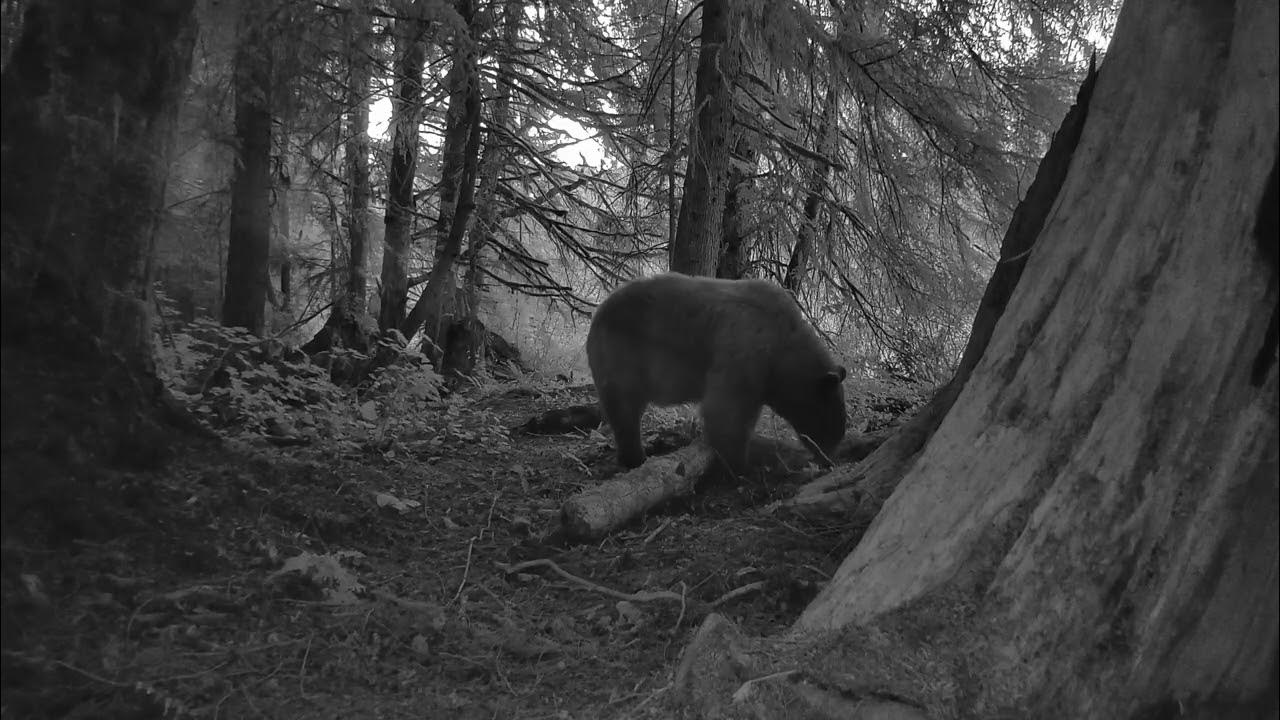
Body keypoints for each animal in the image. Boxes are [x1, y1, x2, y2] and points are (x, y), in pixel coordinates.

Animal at [586, 272, 847, 471]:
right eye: (828, 422)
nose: (829, 459)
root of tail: (598, 312)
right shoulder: (746, 349)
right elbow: (726, 410)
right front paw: (742, 461)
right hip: (623, 353)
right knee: (624, 409)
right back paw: (635, 457)